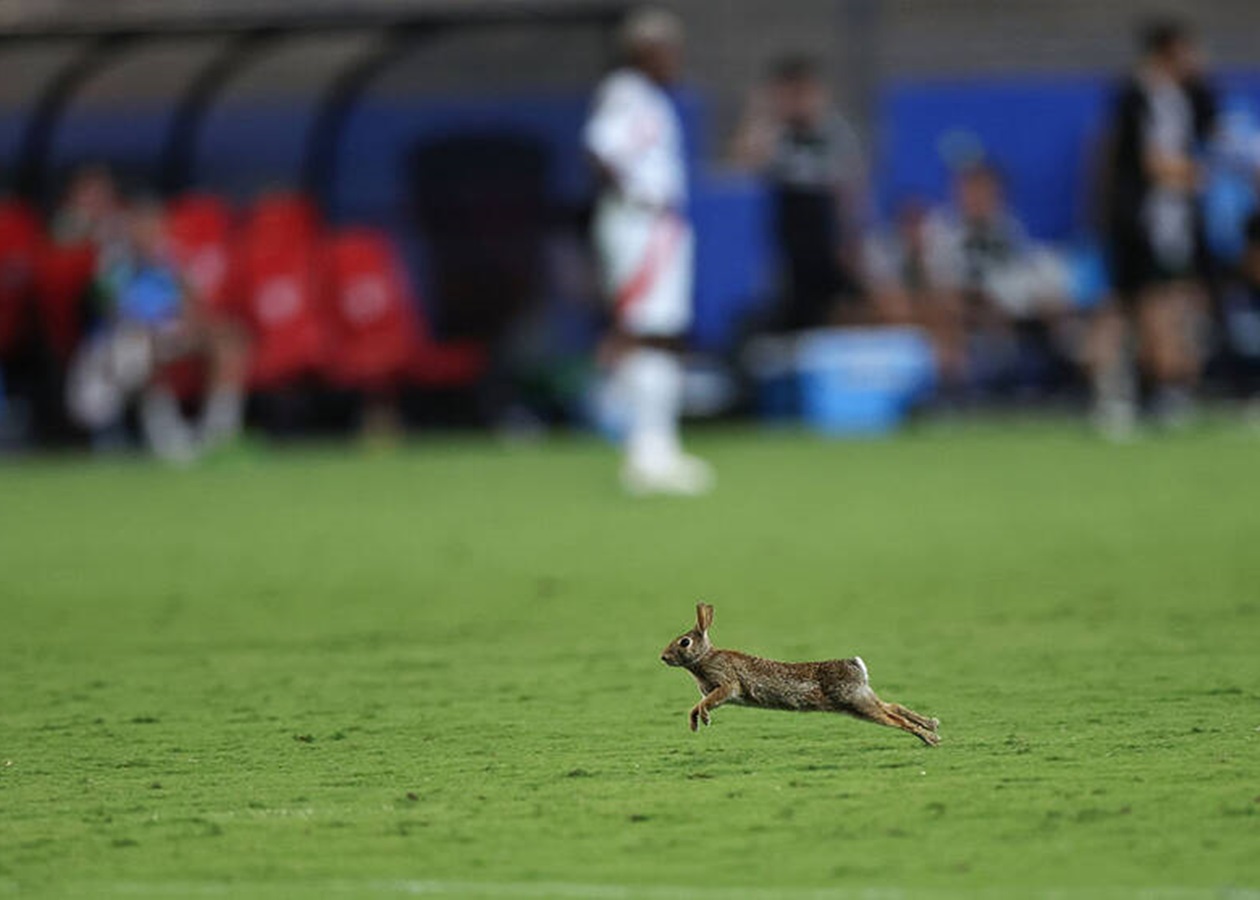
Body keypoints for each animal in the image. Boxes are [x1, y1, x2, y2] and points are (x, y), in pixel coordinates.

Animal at [660, 602, 940, 746]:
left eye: (684, 642)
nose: (663, 657)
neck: (704, 658)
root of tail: (856, 665)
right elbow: (694, 707)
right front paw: (695, 725)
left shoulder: (726, 685)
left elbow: (706, 703)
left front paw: (705, 720)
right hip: (859, 702)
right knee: (893, 706)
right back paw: (932, 725)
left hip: (857, 702)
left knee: (894, 719)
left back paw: (929, 738)